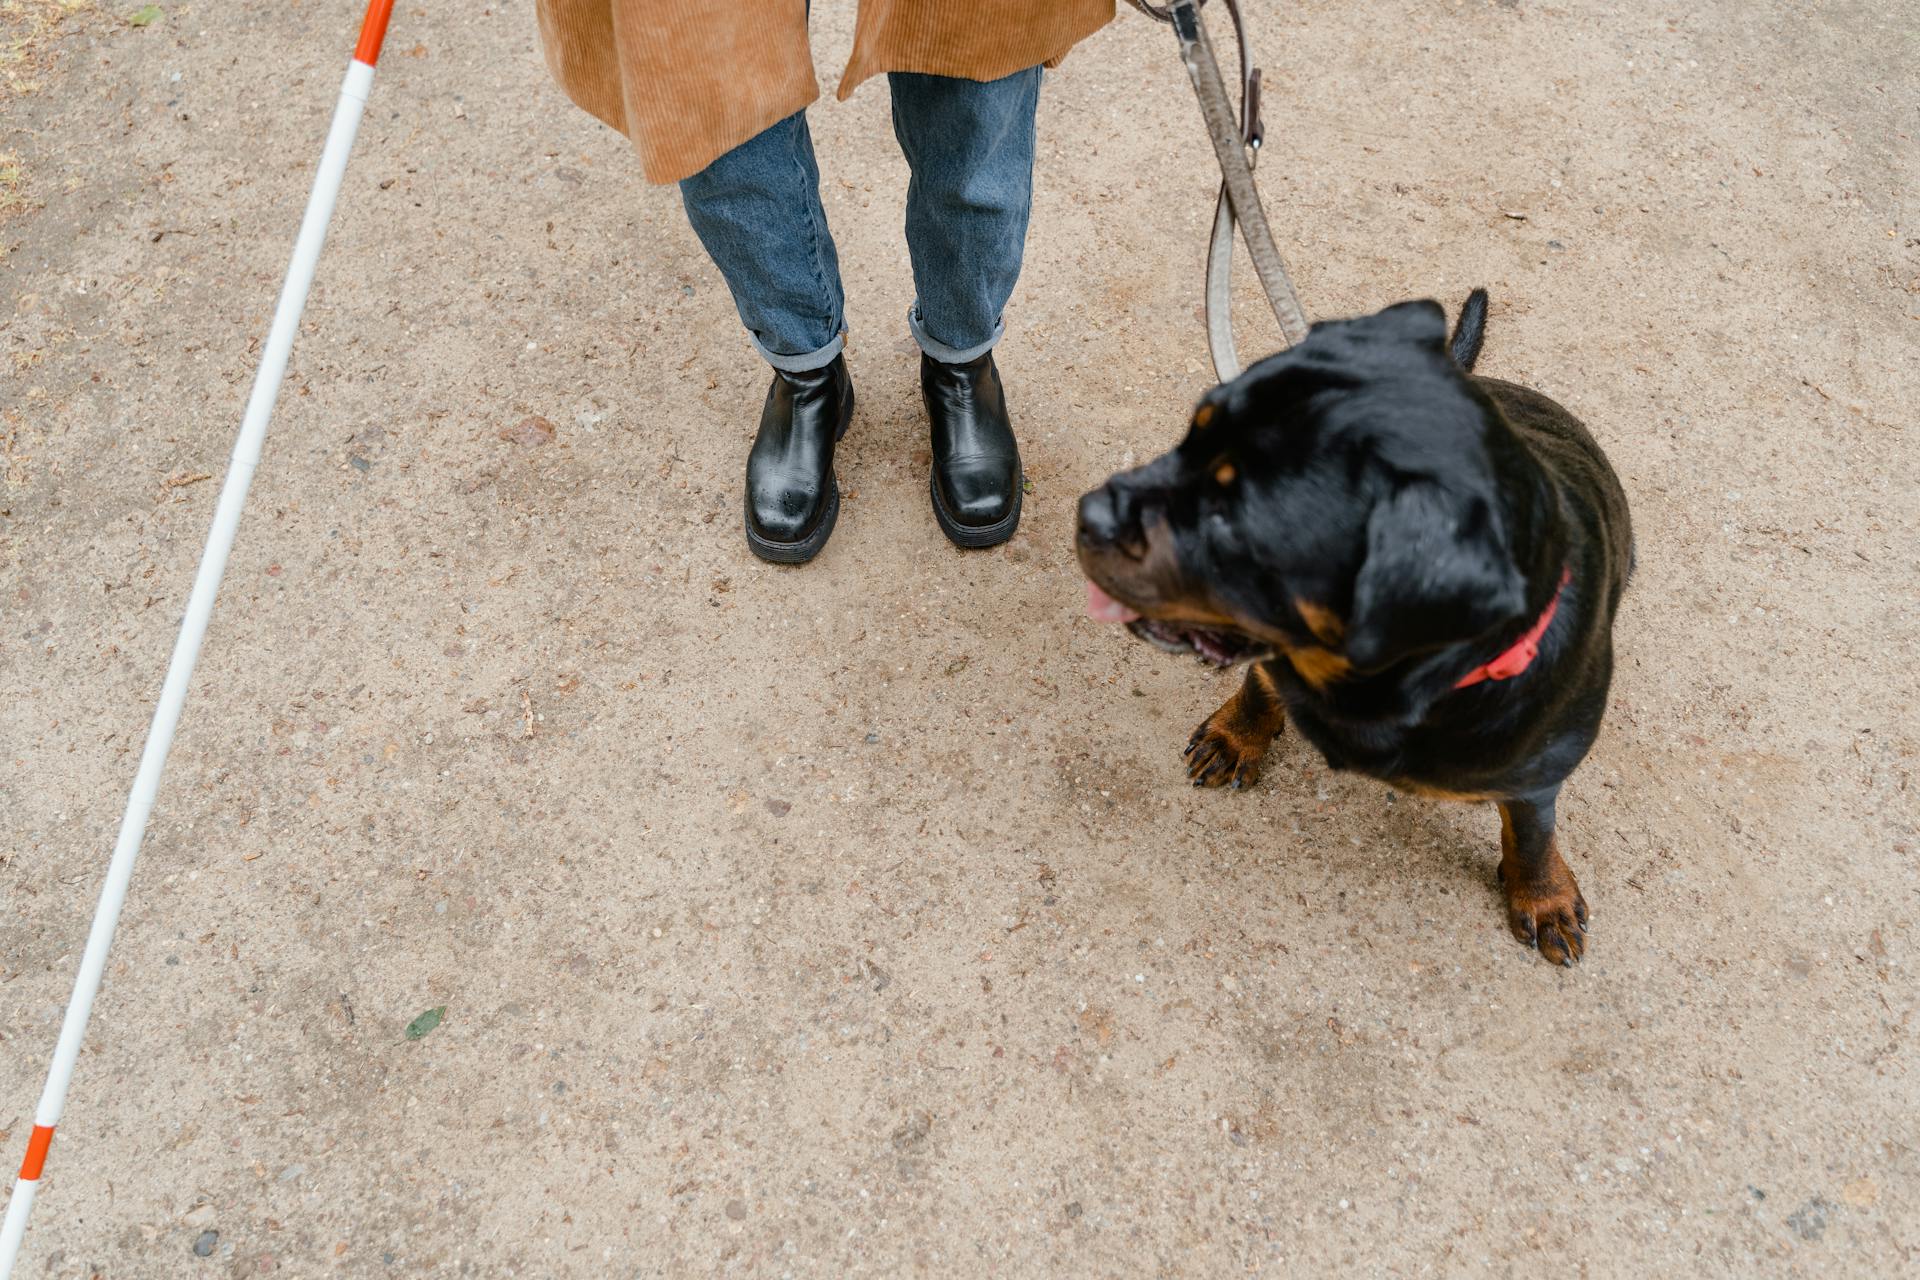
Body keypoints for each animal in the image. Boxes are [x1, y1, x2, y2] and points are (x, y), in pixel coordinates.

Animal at [1075, 293, 1628, 971]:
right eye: (1189, 440)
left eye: (1231, 520)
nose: (1089, 511)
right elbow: (1261, 684)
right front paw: (1238, 736)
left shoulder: (1538, 771)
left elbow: (1532, 830)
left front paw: (1543, 898)